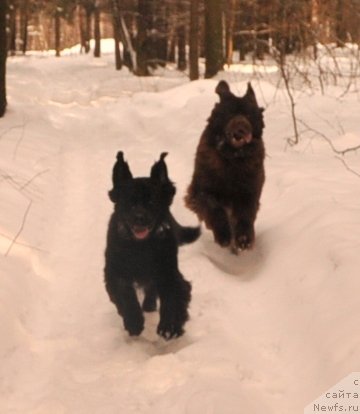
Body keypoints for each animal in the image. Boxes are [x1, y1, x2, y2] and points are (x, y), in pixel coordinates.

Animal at [104, 152, 200, 340]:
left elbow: (172, 297)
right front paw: (134, 322)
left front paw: (169, 327)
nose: (139, 218)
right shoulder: (115, 271)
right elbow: (125, 295)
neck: (141, 246)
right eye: (130, 202)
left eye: (152, 202)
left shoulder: (168, 272)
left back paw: (149, 306)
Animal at [186, 80, 264, 252]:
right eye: (230, 114)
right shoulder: (202, 191)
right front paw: (223, 235)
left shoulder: (249, 191)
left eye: (249, 115)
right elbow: (215, 209)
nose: (242, 127)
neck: (232, 159)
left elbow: (245, 214)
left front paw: (244, 239)